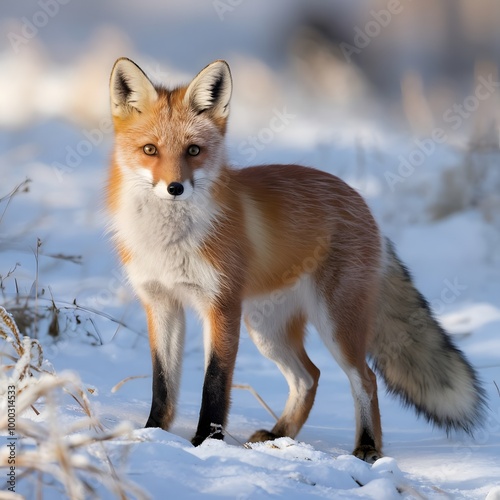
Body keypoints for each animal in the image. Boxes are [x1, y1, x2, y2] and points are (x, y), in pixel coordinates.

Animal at [107, 57, 486, 460]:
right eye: (150, 150)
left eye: (193, 151)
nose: (175, 188)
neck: (169, 243)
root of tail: (361, 202)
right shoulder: (160, 302)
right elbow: (162, 383)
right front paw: (152, 434)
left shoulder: (221, 306)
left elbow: (215, 383)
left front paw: (205, 445)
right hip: (266, 329)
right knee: (309, 376)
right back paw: (279, 434)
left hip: (335, 325)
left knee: (364, 379)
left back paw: (367, 446)